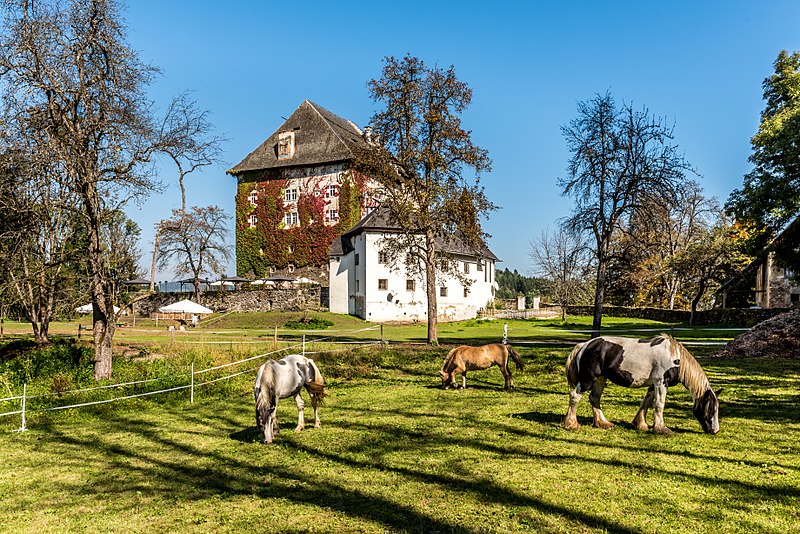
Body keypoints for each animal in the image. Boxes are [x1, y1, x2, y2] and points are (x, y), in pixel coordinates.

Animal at [560, 338, 720, 438]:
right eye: (710, 408)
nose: (715, 430)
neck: (675, 357)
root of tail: (584, 345)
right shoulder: (661, 382)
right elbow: (659, 405)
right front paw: (661, 428)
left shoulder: (653, 385)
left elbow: (646, 402)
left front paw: (641, 424)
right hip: (587, 380)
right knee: (575, 396)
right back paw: (571, 424)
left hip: (600, 379)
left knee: (594, 398)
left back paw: (603, 423)